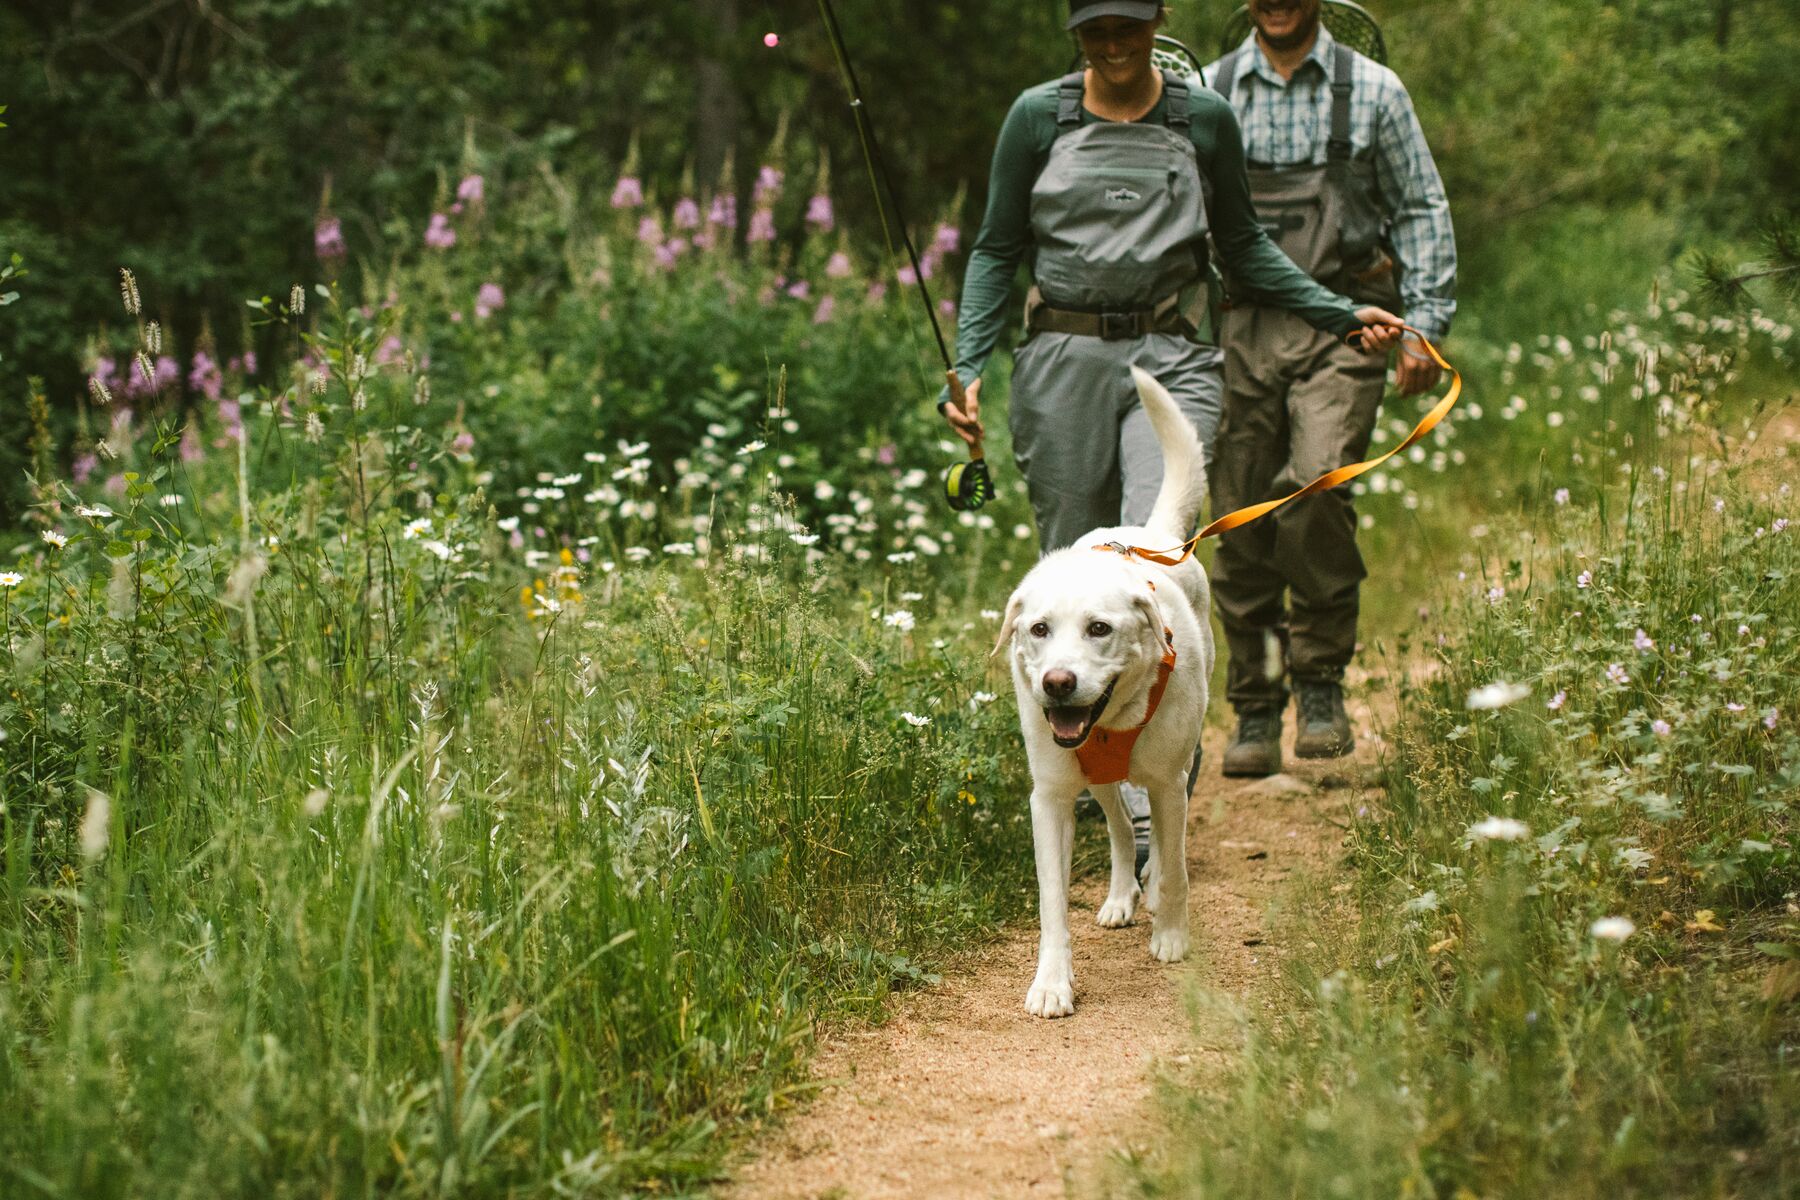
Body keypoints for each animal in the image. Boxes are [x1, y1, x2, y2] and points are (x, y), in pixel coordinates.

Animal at [993, 368, 1216, 1021]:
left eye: (1099, 628)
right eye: (1038, 629)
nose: (1057, 683)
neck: (1114, 718)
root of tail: (1152, 534)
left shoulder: (1167, 782)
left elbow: (1176, 869)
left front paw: (1171, 937)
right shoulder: (1050, 797)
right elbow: (1051, 903)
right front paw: (1052, 982)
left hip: (1176, 766)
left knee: (1163, 842)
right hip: (1096, 779)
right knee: (1120, 827)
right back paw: (1121, 896)